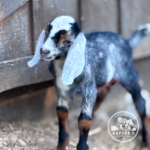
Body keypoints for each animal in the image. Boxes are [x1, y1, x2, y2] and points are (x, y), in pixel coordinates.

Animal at [27, 16, 150, 150]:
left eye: (67, 40)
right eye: (47, 32)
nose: (43, 51)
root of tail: (127, 42)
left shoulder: (89, 89)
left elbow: (84, 120)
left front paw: (82, 146)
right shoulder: (61, 91)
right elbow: (61, 112)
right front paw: (62, 145)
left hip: (128, 75)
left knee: (140, 102)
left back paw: (145, 141)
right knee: (103, 93)